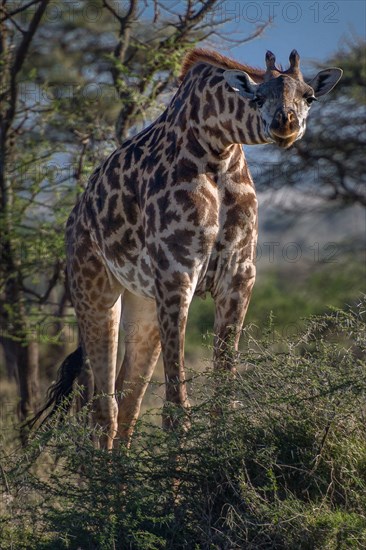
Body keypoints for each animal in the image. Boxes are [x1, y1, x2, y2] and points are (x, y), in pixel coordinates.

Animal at [33, 49, 342, 450]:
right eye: (257, 96)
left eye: (310, 96)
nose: (285, 123)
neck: (218, 150)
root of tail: (74, 218)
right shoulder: (177, 272)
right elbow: (175, 410)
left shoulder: (239, 274)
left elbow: (223, 400)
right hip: (94, 290)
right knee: (104, 409)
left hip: (143, 303)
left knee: (129, 404)